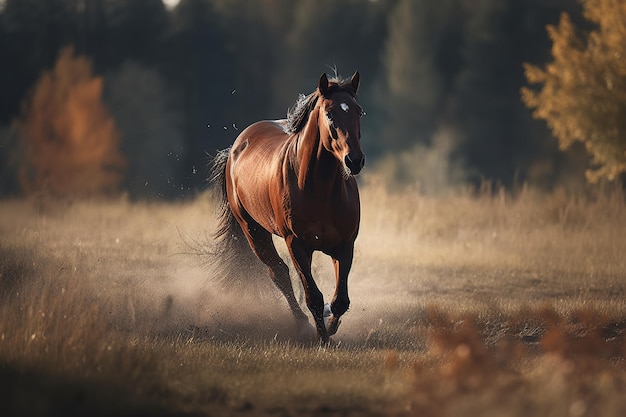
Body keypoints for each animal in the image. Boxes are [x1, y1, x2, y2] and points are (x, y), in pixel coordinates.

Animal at [211, 71, 364, 342]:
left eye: (359, 111)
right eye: (329, 114)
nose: (354, 160)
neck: (319, 189)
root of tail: (235, 149)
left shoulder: (345, 245)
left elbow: (340, 301)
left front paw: (330, 325)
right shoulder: (297, 244)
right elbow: (313, 296)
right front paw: (322, 337)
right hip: (254, 231)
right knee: (279, 273)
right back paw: (301, 323)